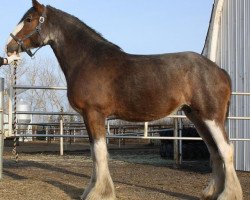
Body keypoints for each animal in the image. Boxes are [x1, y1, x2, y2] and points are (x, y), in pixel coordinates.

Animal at [6, 0, 243, 199]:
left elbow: (100, 153)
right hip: (197, 117)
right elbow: (95, 154)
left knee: (226, 149)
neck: (88, 60)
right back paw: (212, 192)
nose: (9, 47)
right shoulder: (88, 117)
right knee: (215, 151)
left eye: (29, 19)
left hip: (211, 117)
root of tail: (220, 70)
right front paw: (92, 190)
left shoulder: (94, 114)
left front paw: (100, 193)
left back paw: (227, 194)